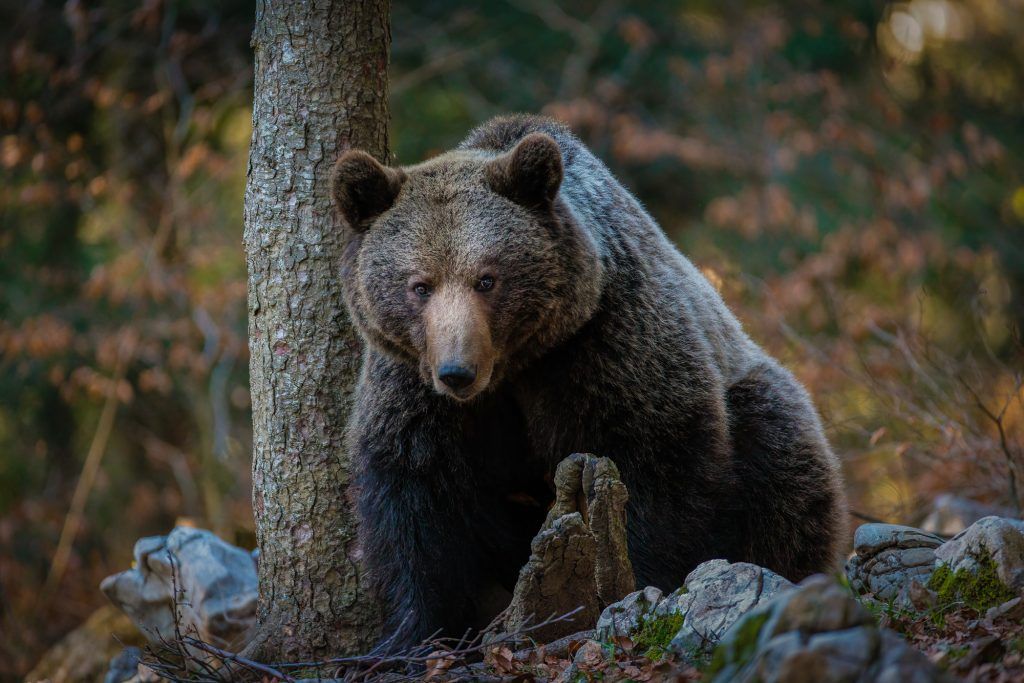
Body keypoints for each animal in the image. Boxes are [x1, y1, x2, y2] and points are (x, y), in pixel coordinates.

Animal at [331, 114, 848, 649]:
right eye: (420, 285)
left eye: (487, 278)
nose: (457, 372)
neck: (514, 366)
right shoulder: (416, 390)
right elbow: (417, 499)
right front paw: (412, 634)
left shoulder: (606, 344)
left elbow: (651, 468)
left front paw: (628, 587)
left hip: (759, 402)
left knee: (781, 467)